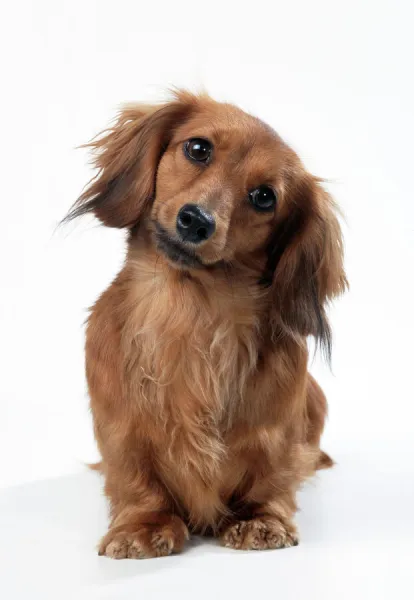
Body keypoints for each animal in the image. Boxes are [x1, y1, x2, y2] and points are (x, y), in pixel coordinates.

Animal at [66, 91, 348, 560]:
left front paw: (260, 521)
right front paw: (143, 526)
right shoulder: (122, 434)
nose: (197, 221)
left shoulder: (276, 436)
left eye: (264, 197)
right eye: (198, 149)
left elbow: (273, 479)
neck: (190, 311)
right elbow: (136, 480)